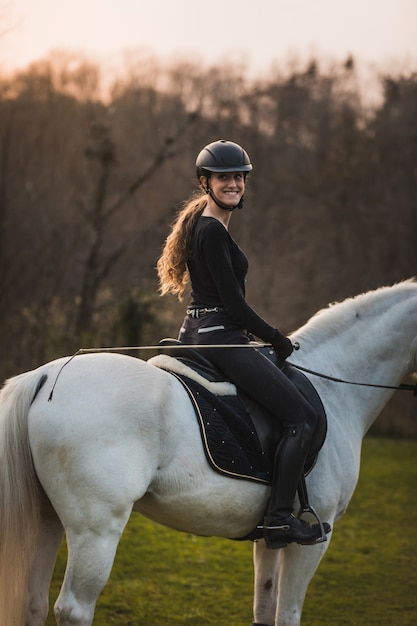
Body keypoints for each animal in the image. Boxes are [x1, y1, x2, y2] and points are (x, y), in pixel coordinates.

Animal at [0, 280, 414, 620]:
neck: (335, 385)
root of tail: (44, 377)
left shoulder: (271, 539)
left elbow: (265, 610)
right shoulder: (313, 539)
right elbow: (288, 614)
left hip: (47, 518)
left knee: (34, 602)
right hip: (96, 529)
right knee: (73, 608)